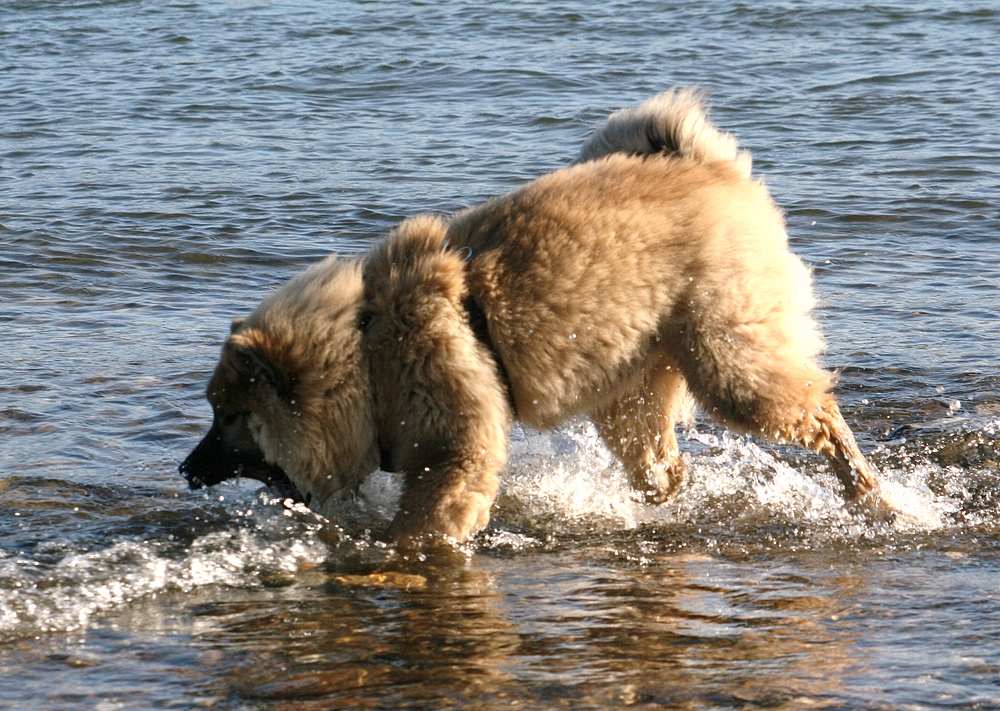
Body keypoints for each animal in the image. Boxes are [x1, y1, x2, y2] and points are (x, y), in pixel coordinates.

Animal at [180, 90, 884, 544]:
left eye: (230, 417)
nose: (186, 470)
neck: (368, 346)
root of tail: (702, 165)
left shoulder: (455, 448)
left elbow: (422, 526)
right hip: (630, 388)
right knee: (665, 468)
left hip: (729, 363)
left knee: (820, 413)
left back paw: (870, 497)